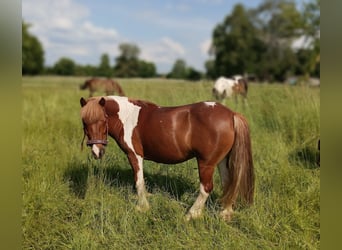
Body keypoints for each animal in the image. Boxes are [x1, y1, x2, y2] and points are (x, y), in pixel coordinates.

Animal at [80, 96, 254, 222]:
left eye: (103, 120)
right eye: (84, 123)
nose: (97, 152)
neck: (127, 117)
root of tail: (231, 114)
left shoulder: (134, 155)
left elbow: (139, 181)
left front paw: (143, 207)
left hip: (206, 163)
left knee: (206, 188)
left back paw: (191, 215)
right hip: (221, 161)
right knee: (229, 183)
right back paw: (225, 212)